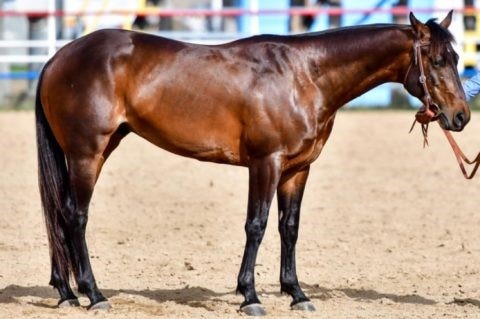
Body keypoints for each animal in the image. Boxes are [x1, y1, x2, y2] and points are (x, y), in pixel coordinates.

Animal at [36, 11, 468, 316]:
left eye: (456, 57)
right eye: (436, 60)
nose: (461, 116)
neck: (304, 77)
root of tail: (59, 56)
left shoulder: (297, 169)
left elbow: (289, 228)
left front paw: (297, 294)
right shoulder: (266, 163)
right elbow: (256, 226)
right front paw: (250, 296)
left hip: (98, 150)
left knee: (59, 214)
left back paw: (66, 293)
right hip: (86, 154)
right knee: (75, 216)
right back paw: (94, 294)